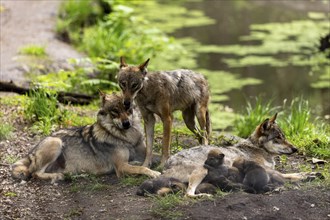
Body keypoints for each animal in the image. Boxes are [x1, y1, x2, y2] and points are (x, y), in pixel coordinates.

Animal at [12, 92, 162, 183]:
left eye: (128, 109)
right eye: (115, 111)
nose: (126, 124)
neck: (126, 138)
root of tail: (30, 152)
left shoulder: (143, 153)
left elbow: (156, 157)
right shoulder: (120, 167)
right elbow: (142, 168)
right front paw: (154, 173)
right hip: (56, 142)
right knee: (35, 173)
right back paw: (58, 176)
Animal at [137, 113, 314, 196]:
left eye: (284, 136)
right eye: (278, 138)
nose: (295, 149)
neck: (258, 148)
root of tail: (167, 165)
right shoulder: (267, 170)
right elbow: (288, 175)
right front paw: (308, 175)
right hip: (201, 170)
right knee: (188, 193)